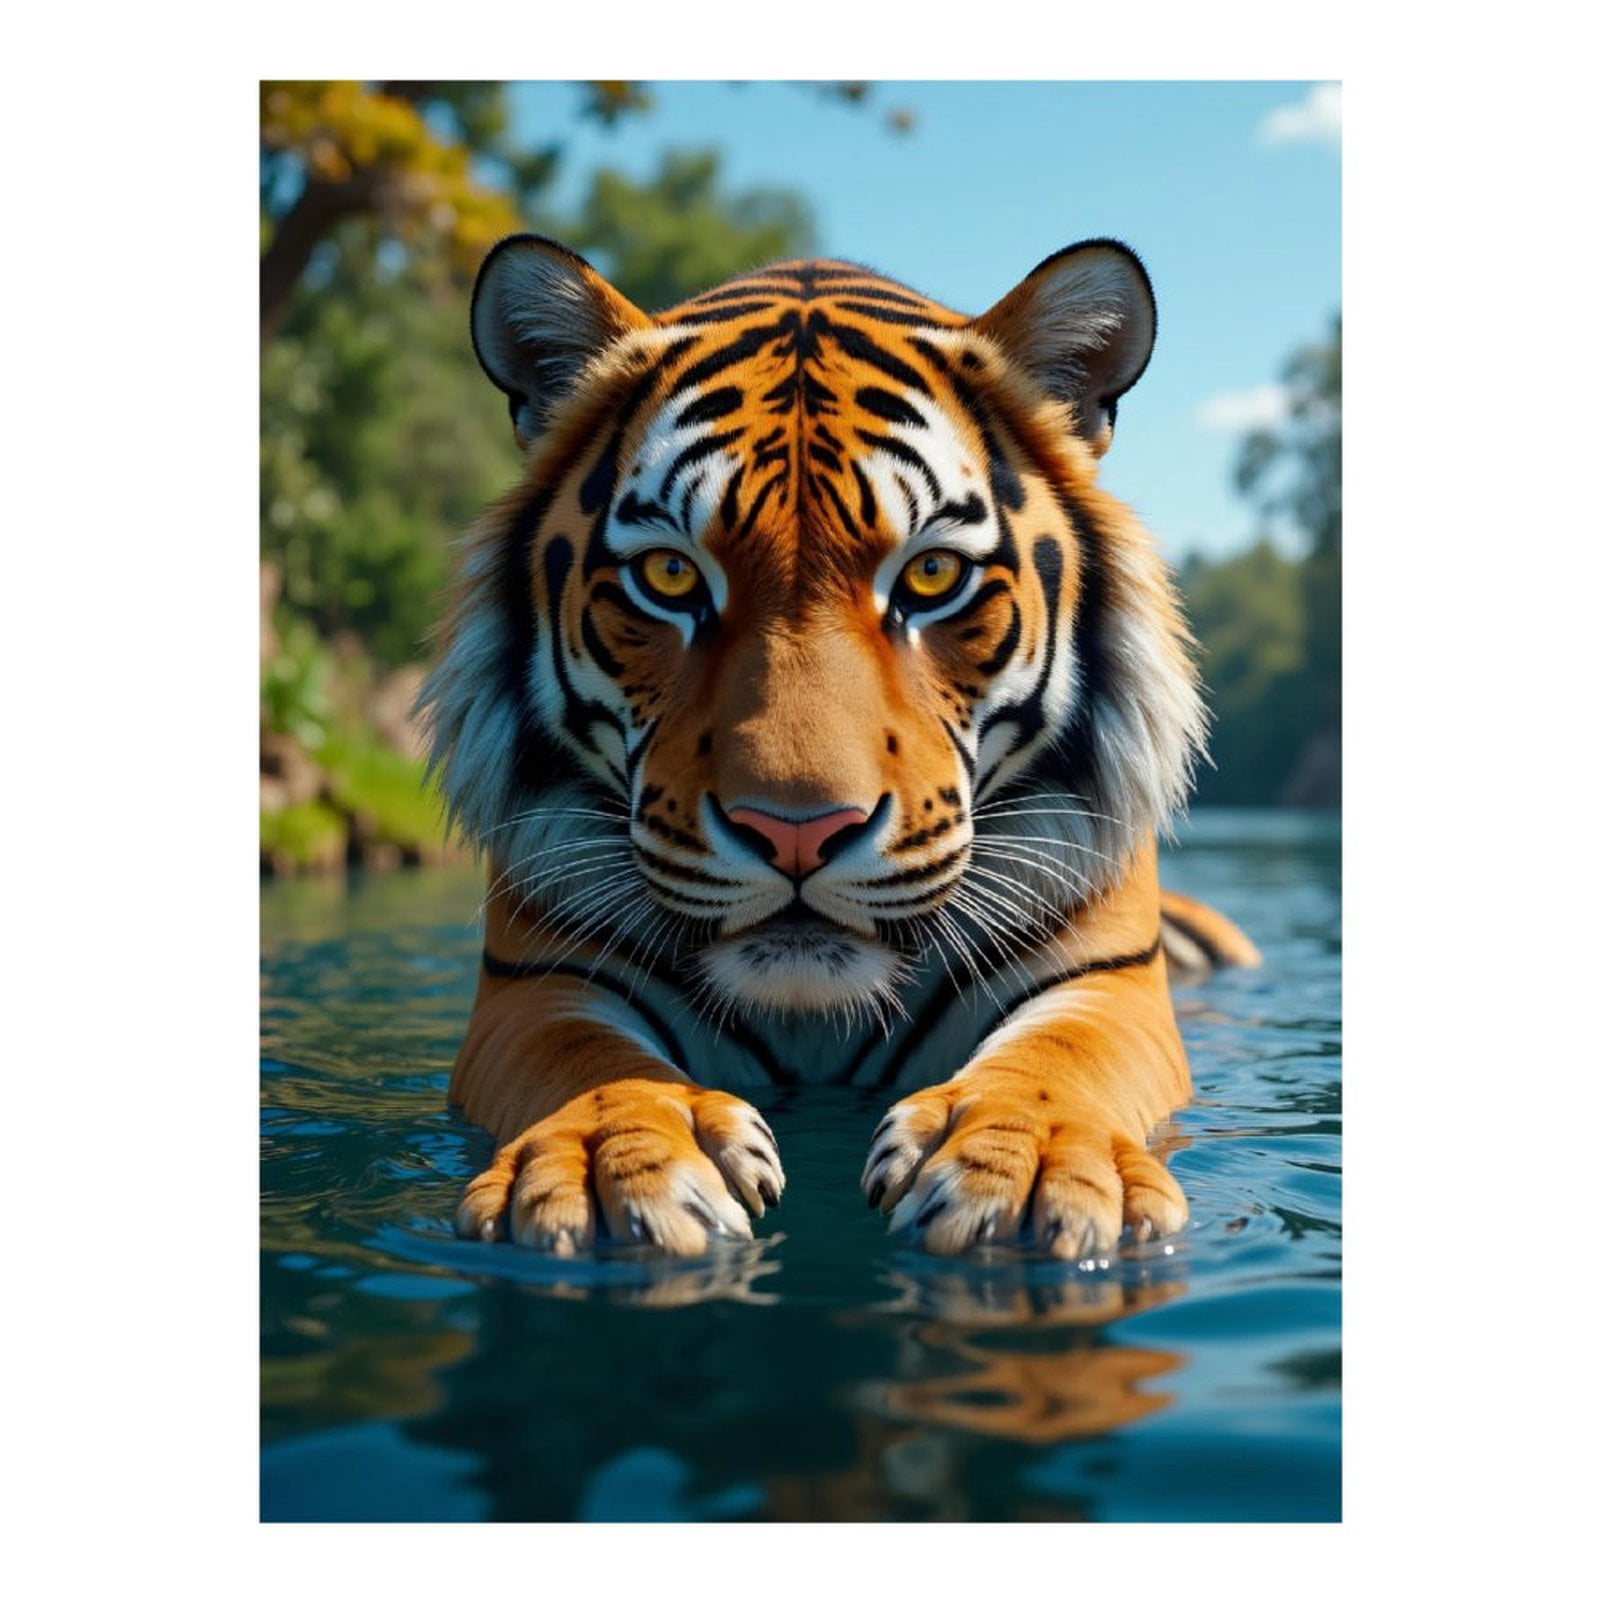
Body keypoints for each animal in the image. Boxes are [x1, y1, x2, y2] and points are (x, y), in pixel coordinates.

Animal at [417, 234, 1260, 1261]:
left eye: (931, 575)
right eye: (670, 576)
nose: (797, 833)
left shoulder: (1106, 982)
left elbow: (1061, 1056)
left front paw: (1025, 1171)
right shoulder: (537, 984)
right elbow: (588, 1059)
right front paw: (603, 1168)